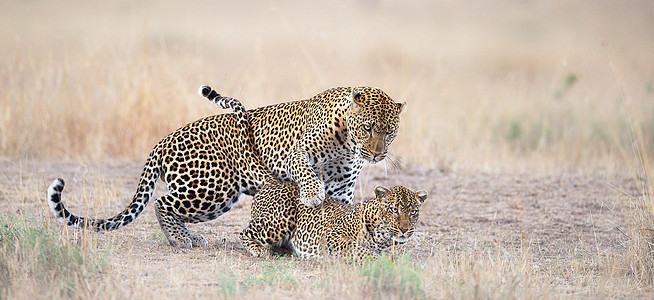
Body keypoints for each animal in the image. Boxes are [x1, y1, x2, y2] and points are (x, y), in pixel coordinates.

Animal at [47, 85, 404, 248]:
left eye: (389, 131)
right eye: (368, 127)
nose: (377, 154)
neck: (347, 142)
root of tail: (162, 141)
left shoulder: (343, 187)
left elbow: (339, 216)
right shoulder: (295, 154)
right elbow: (307, 174)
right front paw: (312, 194)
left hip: (218, 196)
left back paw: (187, 237)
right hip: (211, 189)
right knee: (162, 202)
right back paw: (181, 240)